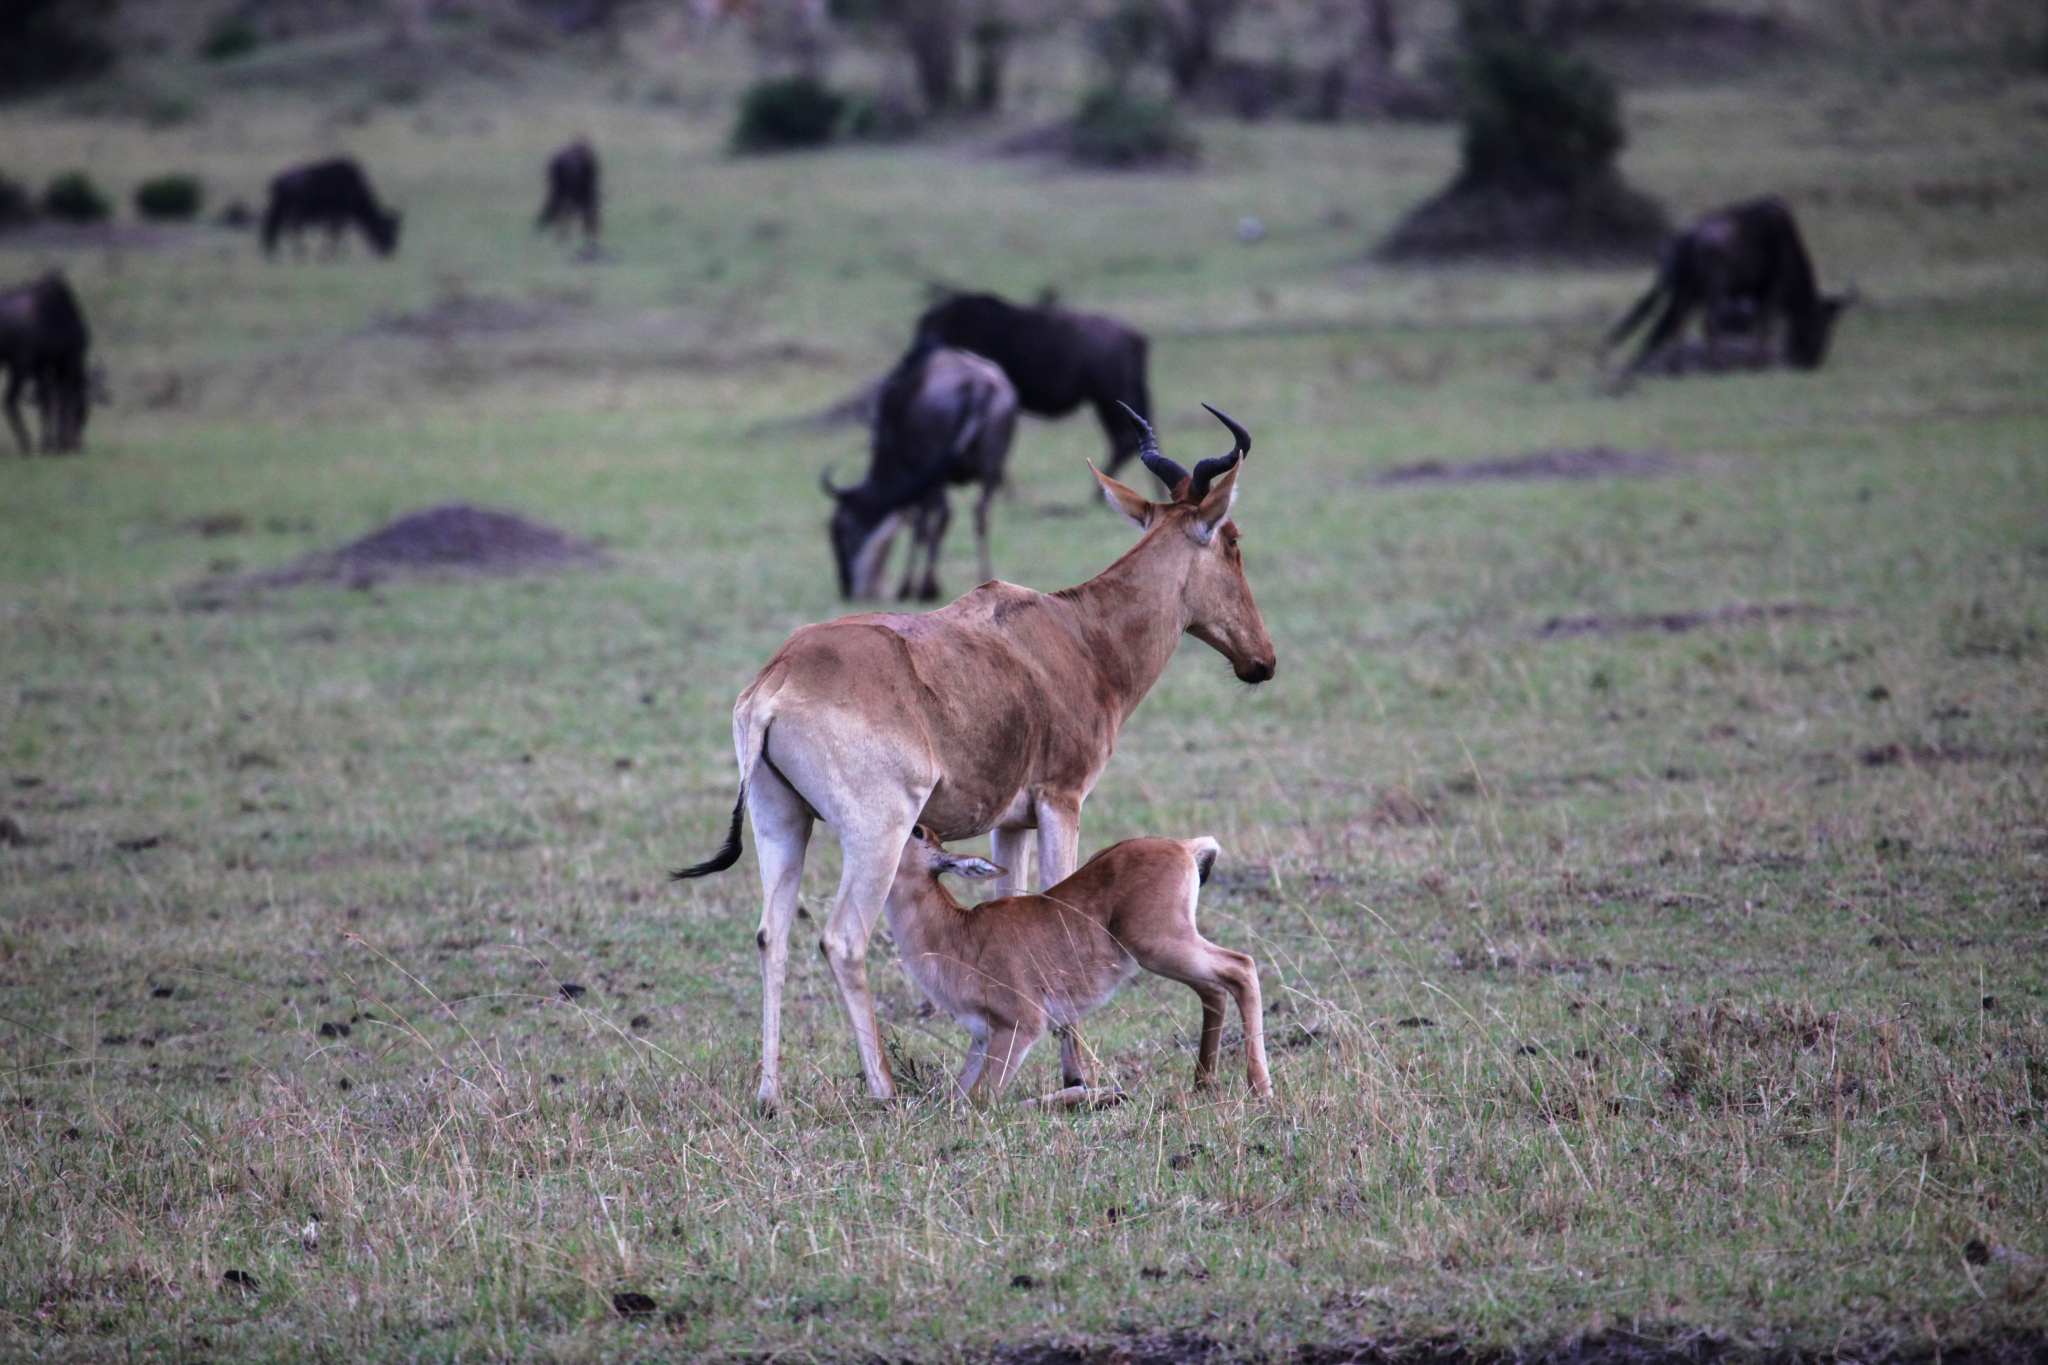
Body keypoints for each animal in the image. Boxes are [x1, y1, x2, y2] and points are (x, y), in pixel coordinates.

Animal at [892, 826, 1269, 1105]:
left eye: (917, 831)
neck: (959, 933)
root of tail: (1183, 847)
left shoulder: (1020, 1029)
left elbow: (981, 1101)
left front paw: (1096, 1095)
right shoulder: (982, 1038)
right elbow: (955, 1100)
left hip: (1162, 947)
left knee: (1241, 967)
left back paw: (1259, 1089)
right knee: (1215, 990)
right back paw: (1203, 1083)